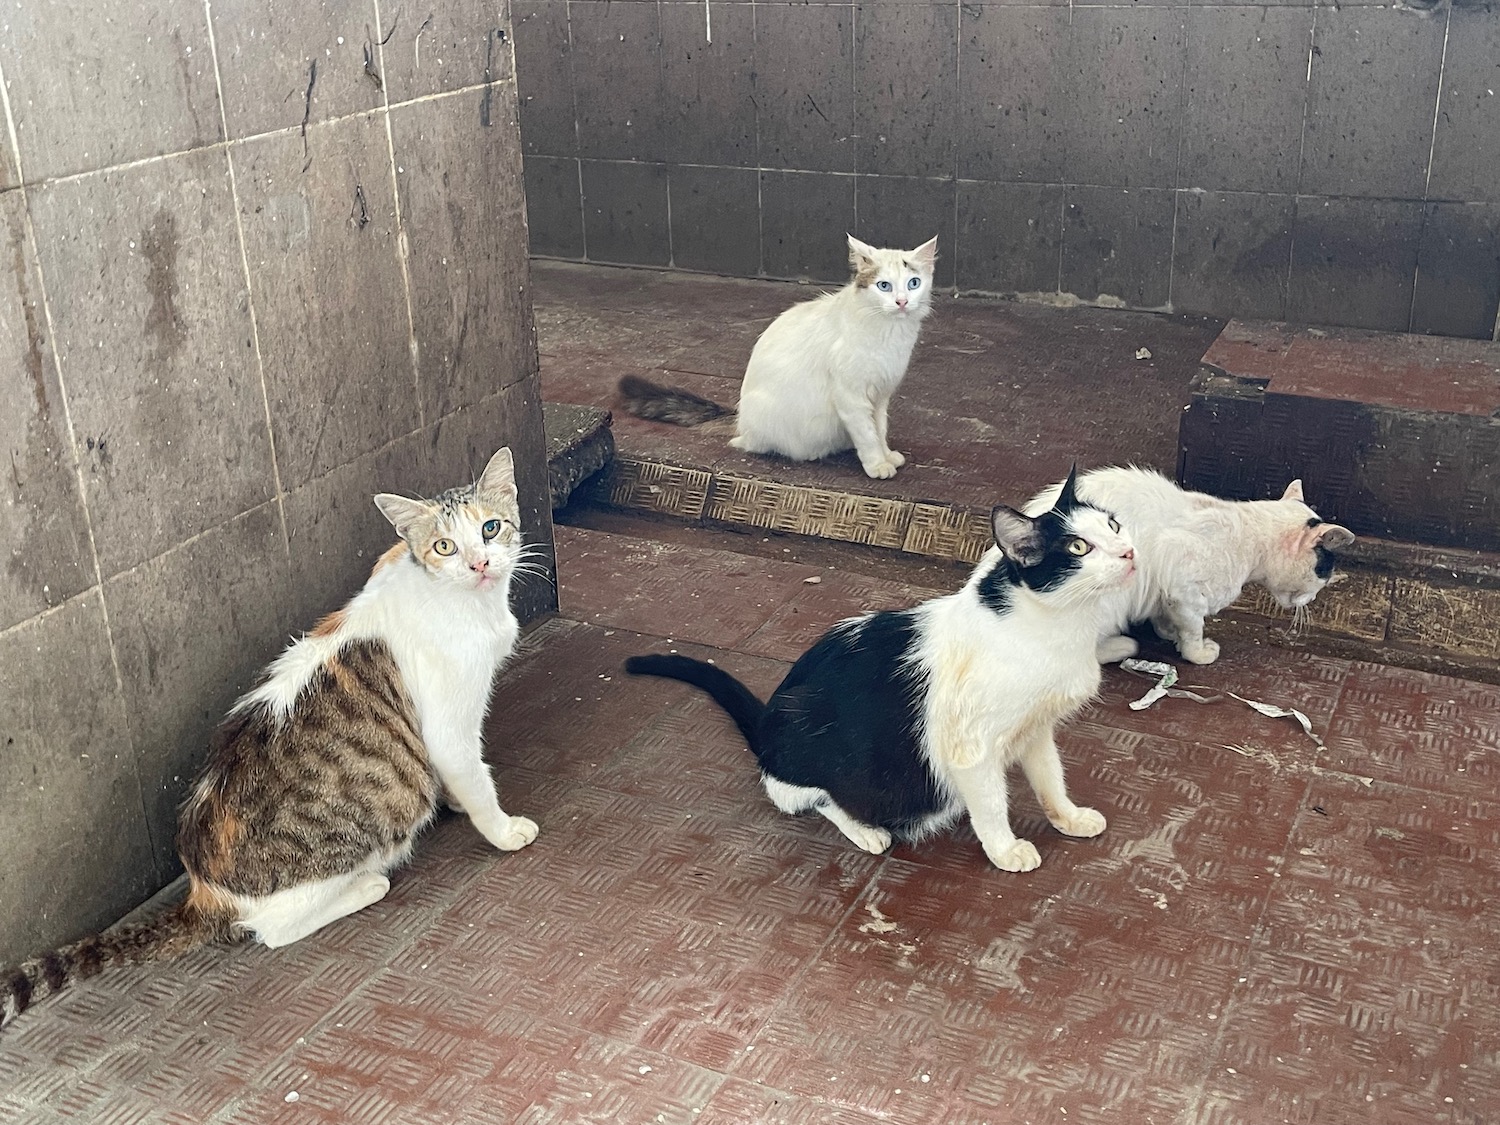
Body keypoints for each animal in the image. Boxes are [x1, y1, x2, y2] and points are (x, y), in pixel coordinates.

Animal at [0, 450, 540, 1032]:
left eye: (490, 528)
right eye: (445, 547)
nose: (480, 564)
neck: (462, 599)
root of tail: (202, 889)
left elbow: (459, 779)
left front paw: (456, 802)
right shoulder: (447, 724)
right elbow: (472, 775)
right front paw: (502, 829)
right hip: (352, 845)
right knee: (273, 930)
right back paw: (365, 886)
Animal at [621, 235, 936, 483]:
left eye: (913, 283)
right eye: (884, 286)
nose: (902, 302)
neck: (890, 333)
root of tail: (740, 418)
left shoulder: (880, 396)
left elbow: (880, 429)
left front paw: (886, 455)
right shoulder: (852, 396)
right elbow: (868, 434)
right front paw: (876, 464)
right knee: (754, 445)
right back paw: (813, 452)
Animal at [624, 468, 1134, 870]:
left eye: (1114, 524)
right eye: (1079, 546)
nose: (1129, 553)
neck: (1056, 627)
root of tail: (768, 721)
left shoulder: (1035, 727)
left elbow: (1050, 778)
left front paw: (1068, 816)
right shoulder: (969, 748)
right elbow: (990, 804)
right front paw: (1005, 850)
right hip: (805, 734)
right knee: (801, 795)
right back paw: (866, 828)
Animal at [1026, 468, 1356, 666]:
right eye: (1324, 572)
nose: (1313, 598)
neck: (1248, 535)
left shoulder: (1167, 594)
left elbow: (1167, 618)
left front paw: (1168, 632)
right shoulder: (1183, 588)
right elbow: (1194, 628)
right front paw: (1196, 652)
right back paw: (1122, 646)